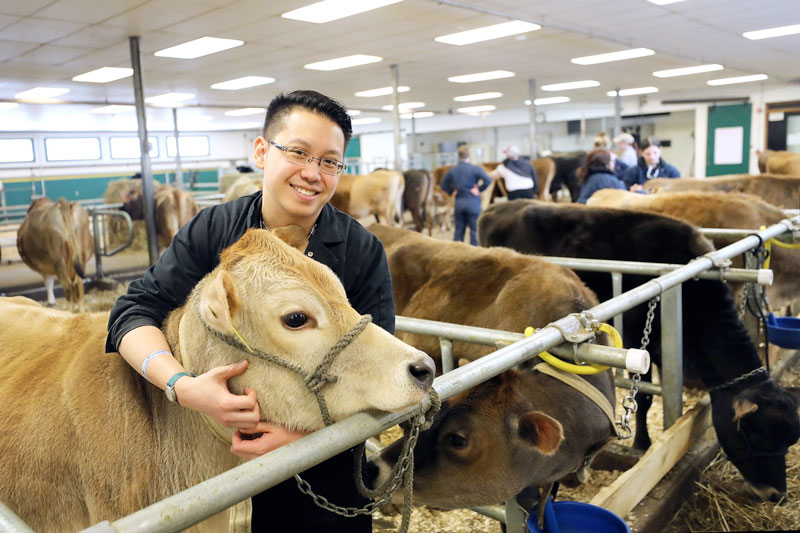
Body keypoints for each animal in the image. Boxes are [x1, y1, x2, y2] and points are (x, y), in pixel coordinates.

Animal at [478, 202, 796, 500]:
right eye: (759, 439)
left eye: (790, 441)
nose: (776, 495)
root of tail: (499, 206)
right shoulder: (636, 338)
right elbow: (643, 396)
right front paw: (642, 443)